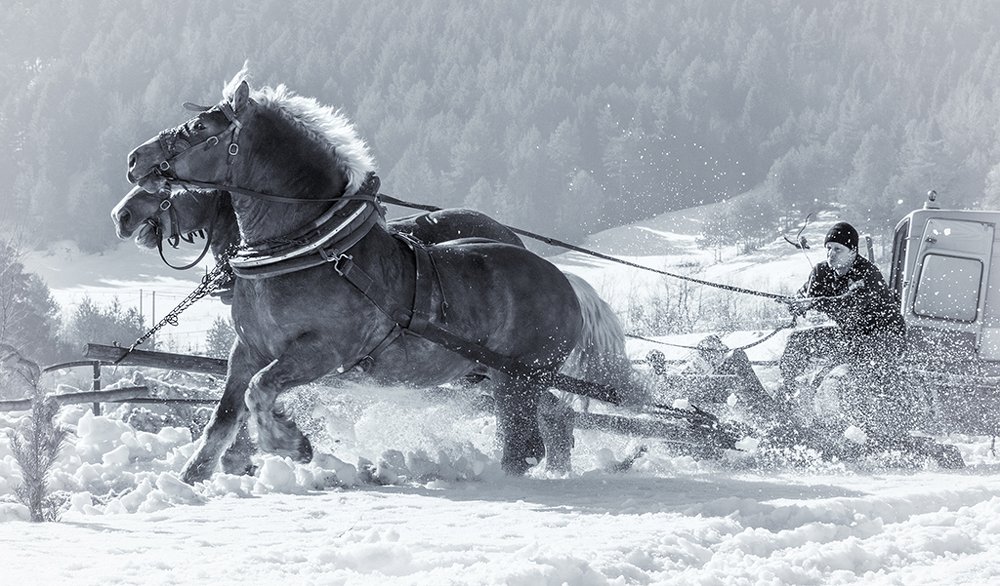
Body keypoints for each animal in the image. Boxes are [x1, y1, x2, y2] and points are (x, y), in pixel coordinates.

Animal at [125, 68, 636, 483]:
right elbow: (225, 414)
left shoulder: (323, 350)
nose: (134, 161)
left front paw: (292, 444)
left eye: (200, 128)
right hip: (499, 376)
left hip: (521, 378)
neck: (309, 247)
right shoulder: (248, 349)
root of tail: (566, 281)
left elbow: (260, 392)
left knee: (525, 445)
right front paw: (196, 475)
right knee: (551, 422)